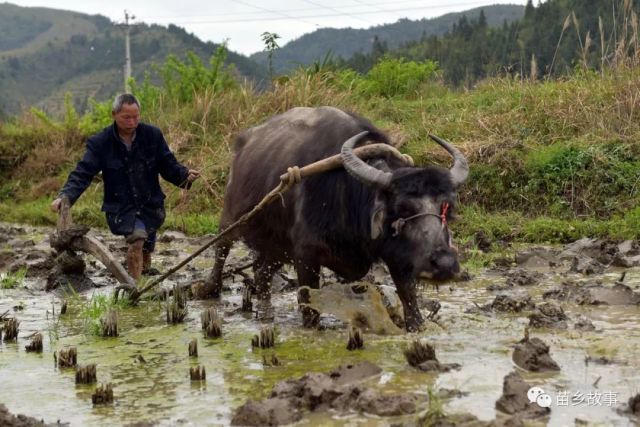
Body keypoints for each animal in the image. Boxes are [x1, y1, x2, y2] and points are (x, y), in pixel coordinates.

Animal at [206, 106, 470, 332]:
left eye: (446, 207)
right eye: (403, 209)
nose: (444, 264)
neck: (348, 195)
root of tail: (243, 143)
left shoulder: (396, 255)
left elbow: (409, 300)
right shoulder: (306, 256)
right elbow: (309, 307)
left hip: (276, 244)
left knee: (261, 272)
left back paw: (266, 313)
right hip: (230, 218)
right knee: (221, 250)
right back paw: (210, 289)